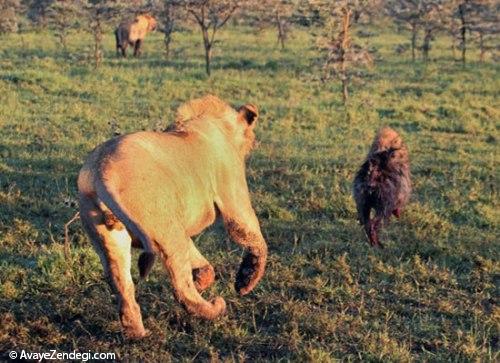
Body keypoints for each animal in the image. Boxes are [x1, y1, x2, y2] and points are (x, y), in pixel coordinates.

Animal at [76, 94, 268, 338]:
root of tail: (102, 172)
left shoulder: (177, 227)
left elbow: (197, 257)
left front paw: (202, 278)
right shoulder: (235, 203)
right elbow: (256, 240)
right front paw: (245, 281)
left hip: (115, 239)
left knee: (124, 288)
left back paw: (138, 334)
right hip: (165, 228)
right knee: (181, 288)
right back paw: (214, 307)